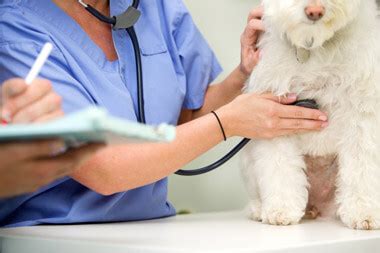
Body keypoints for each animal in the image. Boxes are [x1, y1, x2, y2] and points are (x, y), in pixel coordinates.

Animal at [242, 0, 380, 229]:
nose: (315, 11)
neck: (314, 47)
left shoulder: (362, 116)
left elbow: (362, 170)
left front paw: (364, 212)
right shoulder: (277, 116)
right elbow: (280, 168)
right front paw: (281, 210)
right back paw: (258, 209)